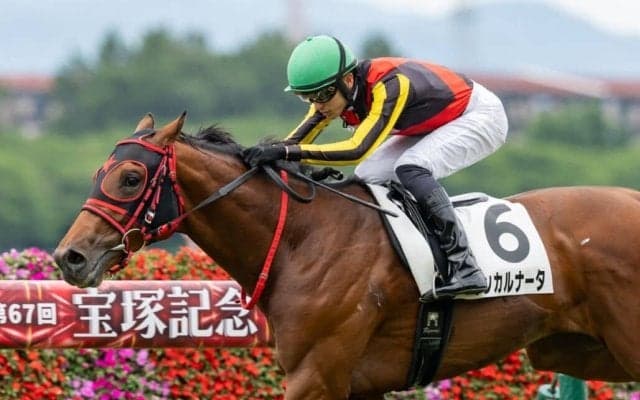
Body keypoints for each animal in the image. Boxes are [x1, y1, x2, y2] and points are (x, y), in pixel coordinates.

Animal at [54, 113, 640, 399]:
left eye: (131, 179)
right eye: (99, 174)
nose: (70, 257)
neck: (303, 240)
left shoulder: (317, 375)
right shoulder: (359, 383)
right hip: (574, 350)